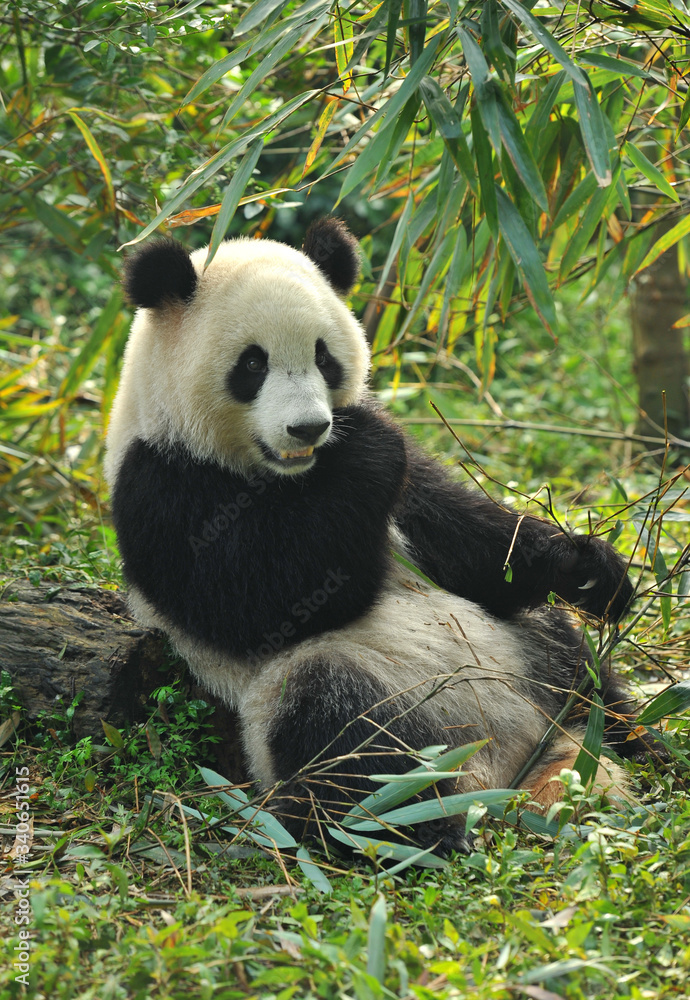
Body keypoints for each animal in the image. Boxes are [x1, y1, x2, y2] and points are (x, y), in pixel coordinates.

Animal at [105, 217, 639, 855]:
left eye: (324, 357)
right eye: (252, 365)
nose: (309, 427)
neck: (288, 475)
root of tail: (502, 768)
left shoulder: (404, 502)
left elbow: (468, 542)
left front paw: (592, 570)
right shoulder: (162, 483)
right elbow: (261, 598)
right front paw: (365, 443)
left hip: (522, 651)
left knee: (574, 663)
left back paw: (638, 743)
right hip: (333, 696)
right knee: (342, 733)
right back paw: (426, 829)